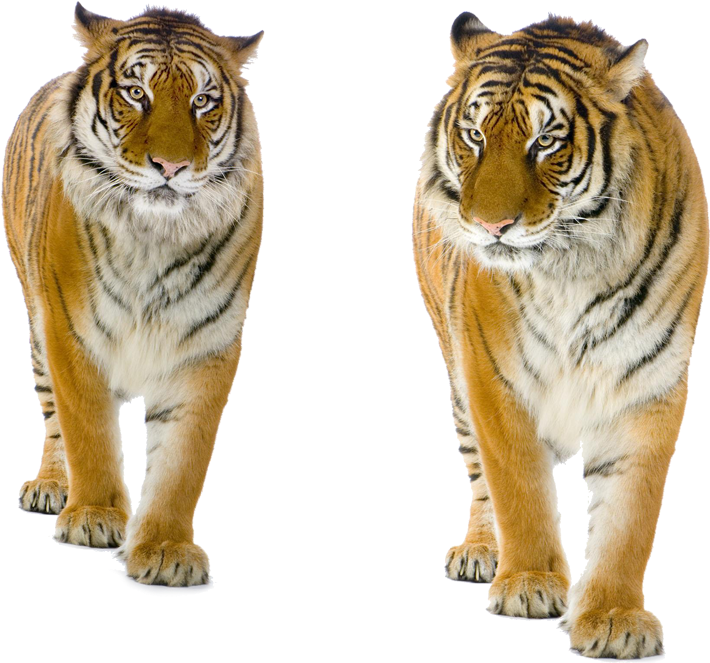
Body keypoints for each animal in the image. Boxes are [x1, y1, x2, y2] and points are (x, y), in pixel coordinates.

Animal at [3, 4, 264, 587]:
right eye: (136, 93)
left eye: (202, 101)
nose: (170, 167)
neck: (154, 237)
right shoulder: (72, 333)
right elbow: (88, 433)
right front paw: (95, 517)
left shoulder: (206, 346)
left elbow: (182, 461)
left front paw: (166, 549)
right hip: (36, 324)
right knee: (53, 419)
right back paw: (52, 487)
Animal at [413, 12, 707, 659]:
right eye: (474, 135)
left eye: (545, 141)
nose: (491, 226)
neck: (573, 266)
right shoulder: (493, 376)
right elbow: (518, 486)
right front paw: (528, 583)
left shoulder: (647, 382)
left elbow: (630, 517)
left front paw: (616, 617)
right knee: (481, 477)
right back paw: (480, 552)